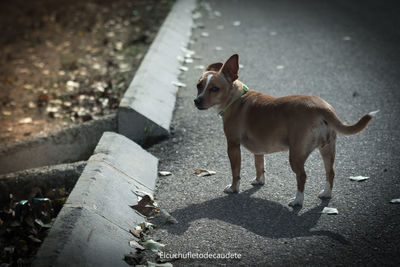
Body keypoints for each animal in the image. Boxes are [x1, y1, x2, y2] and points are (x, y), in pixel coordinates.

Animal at [195, 53, 378, 206]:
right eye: (198, 86)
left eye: (214, 89)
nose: (196, 101)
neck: (237, 98)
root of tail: (321, 107)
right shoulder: (258, 149)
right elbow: (259, 165)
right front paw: (259, 180)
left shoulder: (233, 146)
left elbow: (235, 171)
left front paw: (233, 188)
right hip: (327, 150)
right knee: (330, 172)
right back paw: (326, 193)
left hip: (296, 155)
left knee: (302, 176)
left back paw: (298, 201)